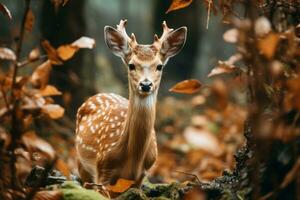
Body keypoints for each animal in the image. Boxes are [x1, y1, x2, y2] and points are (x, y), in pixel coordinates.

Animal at [75, 19, 186, 190]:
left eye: (159, 66)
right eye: (131, 65)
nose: (146, 85)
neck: (132, 159)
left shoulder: (141, 176)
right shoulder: (102, 170)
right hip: (81, 162)